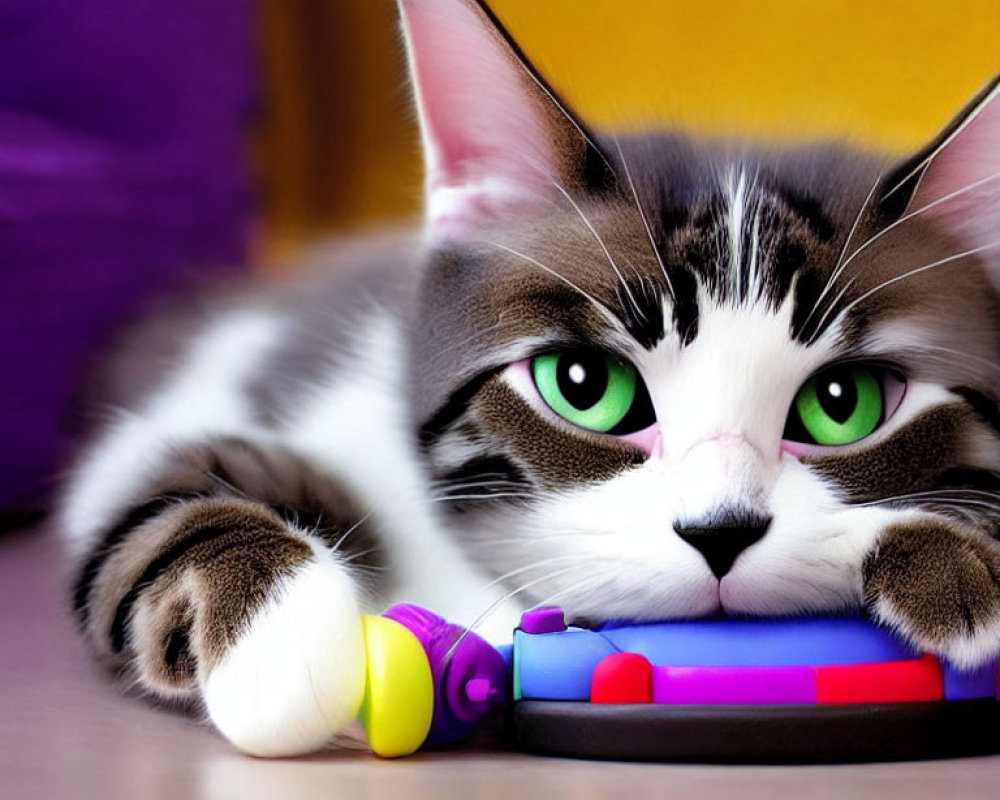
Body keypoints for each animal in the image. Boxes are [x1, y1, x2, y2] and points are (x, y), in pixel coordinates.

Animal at [56, 0, 1000, 756]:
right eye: (583, 386)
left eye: (845, 405)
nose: (719, 531)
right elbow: (161, 494)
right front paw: (283, 642)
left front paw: (949, 563)